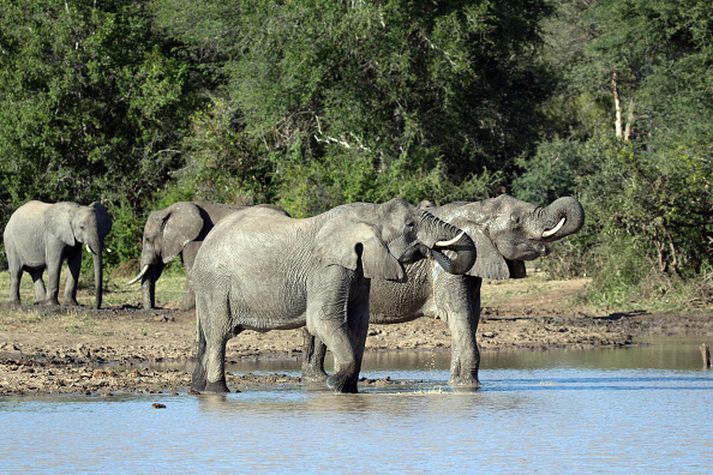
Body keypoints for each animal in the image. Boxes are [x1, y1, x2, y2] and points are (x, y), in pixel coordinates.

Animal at [128, 201, 264, 308]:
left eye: (148, 239)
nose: (151, 309)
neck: (168, 211)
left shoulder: (198, 237)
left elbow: (192, 270)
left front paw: (184, 308)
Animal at [192, 197, 476, 394]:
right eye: (410, 225)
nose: (433, 249)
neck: (369, 213)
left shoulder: (358, 269)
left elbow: (358, 323)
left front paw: (347, 389)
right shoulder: (327, 268)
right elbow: (323, 320)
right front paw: (333, 384)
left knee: (207, 337)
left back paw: (199, 389)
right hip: (214, 286)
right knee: (219, 336)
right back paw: (218, 390)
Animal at [300, 195, 584, 388]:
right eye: (516, 221)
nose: (430, 249)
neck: (477, 209)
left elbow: (470, 318)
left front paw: (458, 384)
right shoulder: (449, 268)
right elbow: (458, 315)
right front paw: (467, 387)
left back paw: (316, 380)